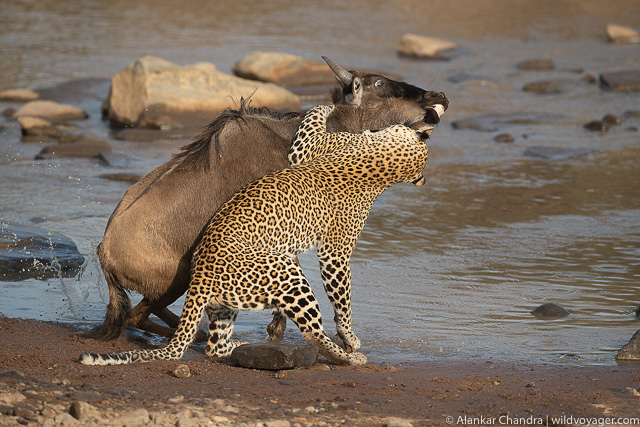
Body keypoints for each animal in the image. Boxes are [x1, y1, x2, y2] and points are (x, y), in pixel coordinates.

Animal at [80, 103, 434, 366]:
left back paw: (214, 336)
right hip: (193, 278)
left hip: (198, 289)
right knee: (139, 316)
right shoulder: (326, 245)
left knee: (164, 323)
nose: (429, 115)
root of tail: (102, 251)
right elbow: (338, 297)